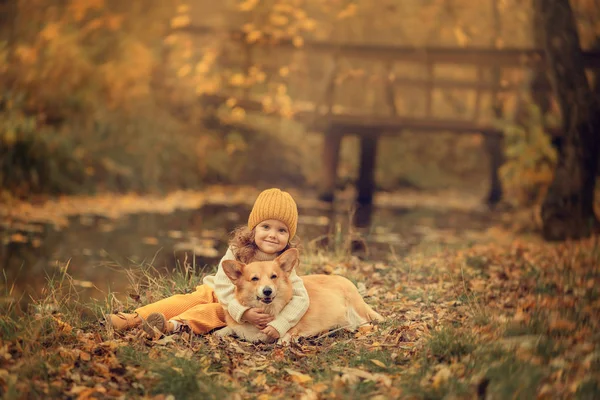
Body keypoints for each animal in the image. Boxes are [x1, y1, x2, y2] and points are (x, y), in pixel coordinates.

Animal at [216, 247, 384, 344]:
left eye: (274, 276)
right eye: (254, 279)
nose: (267, 291)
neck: (268, 310)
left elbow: (283, 338)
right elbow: (228, 329)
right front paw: (219, 332)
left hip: (361, 310)